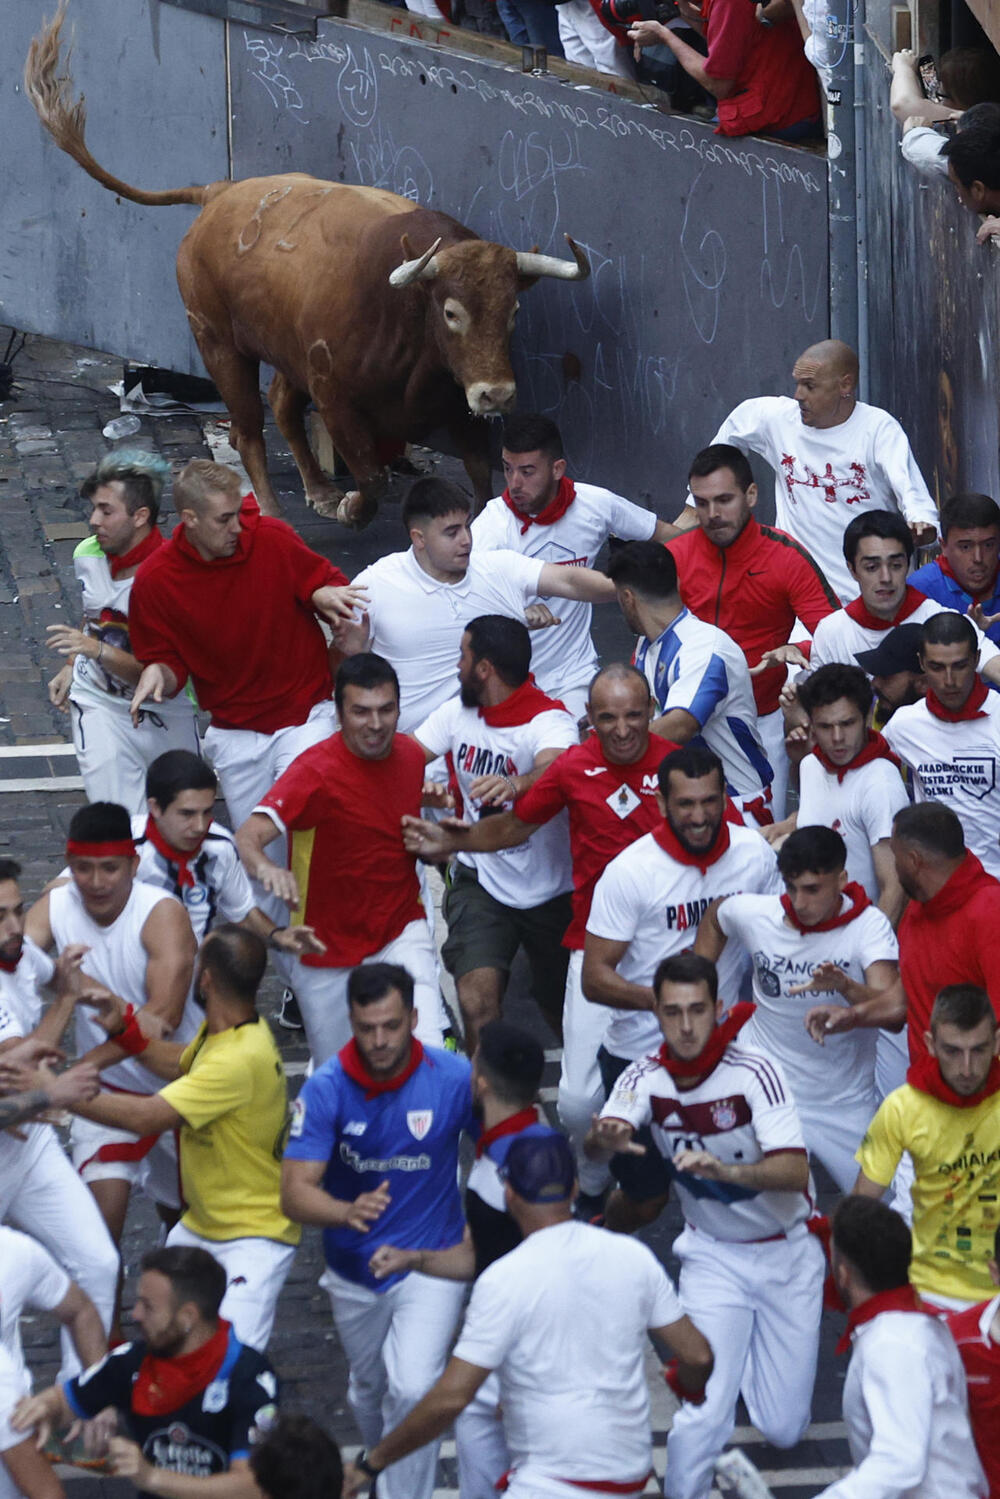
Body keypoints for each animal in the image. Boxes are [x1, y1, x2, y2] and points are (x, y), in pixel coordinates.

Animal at [23, 4, 590, 527]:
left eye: (513, 312)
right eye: (451, 313)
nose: (497, 393)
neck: (407, 314)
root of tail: (220, 193)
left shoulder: (459, 408)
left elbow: (478, 478)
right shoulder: (336, 400)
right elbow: (370, 475)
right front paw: (352, 509)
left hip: (283, 349)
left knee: (279, 405)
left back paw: (316, 488)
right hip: (217, 341)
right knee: (249, 427)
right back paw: (276, 511)